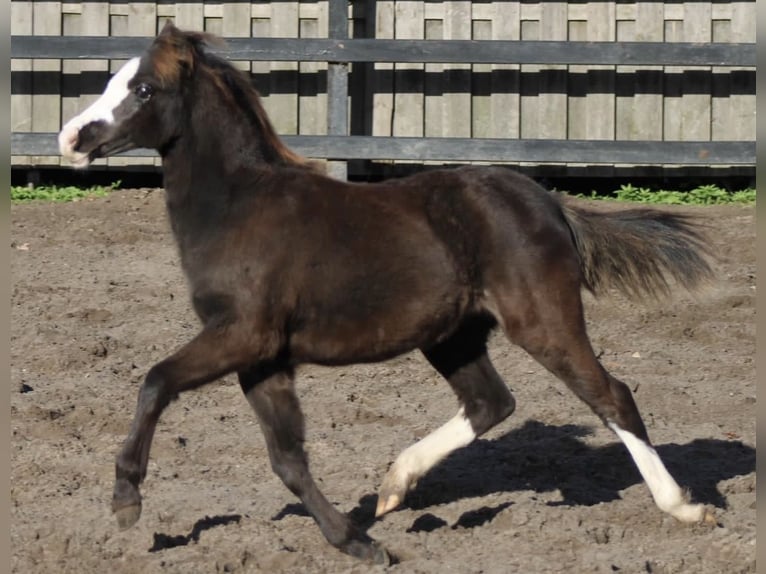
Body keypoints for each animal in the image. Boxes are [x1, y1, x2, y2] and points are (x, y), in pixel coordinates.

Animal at [58, 23, 720, 568]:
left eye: (144, 89)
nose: (71, 137)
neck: (239, 207)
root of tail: (550, 203)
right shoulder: (262, 356)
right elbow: (287, 458)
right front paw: (357, 541)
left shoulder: (241, 334)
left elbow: (156, 381)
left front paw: (125, 501)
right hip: (453, 336)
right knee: (491, 403)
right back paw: (394, 487)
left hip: (543, 320)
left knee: (611, 396)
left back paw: (685, 506)